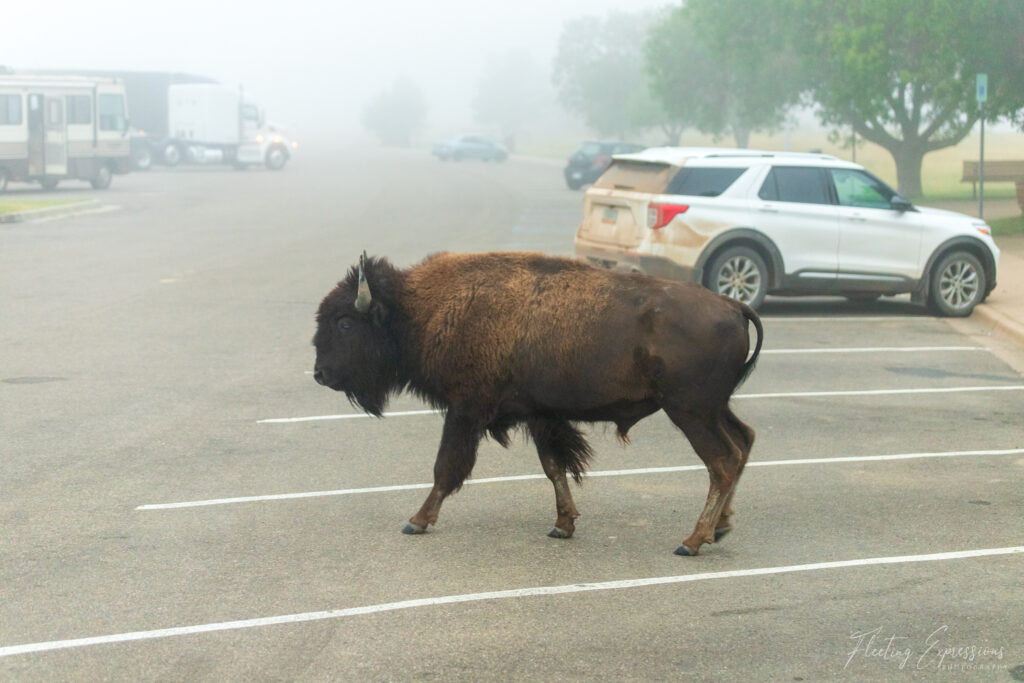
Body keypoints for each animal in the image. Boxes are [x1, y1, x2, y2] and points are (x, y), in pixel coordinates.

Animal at [315, 250, 765, 557]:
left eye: (344, 323)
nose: (320, 373)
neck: (422, 308)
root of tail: (734, 305)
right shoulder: (539, 416)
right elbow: (554, 467)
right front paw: (563, 524)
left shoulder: (465, 411)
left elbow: (446, 468)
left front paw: (417, 521)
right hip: (714, 409)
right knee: (744, 442)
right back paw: (720, 527)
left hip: (690, 411)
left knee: (723, 461)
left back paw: (692, 540)